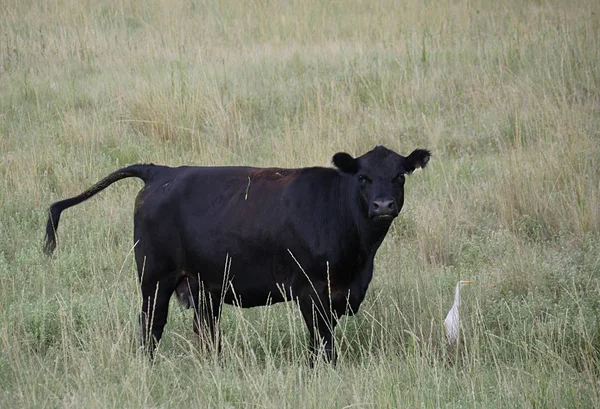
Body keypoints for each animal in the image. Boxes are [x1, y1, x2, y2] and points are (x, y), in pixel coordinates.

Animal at [45, 145, 432, 362]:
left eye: (400, 175)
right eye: (363, 177)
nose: (383, 206)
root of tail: (161, 172)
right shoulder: (312, 291)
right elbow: (322, 344)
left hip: (203, 287)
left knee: (206, 332)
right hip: (155, 278)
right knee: (151, 326)